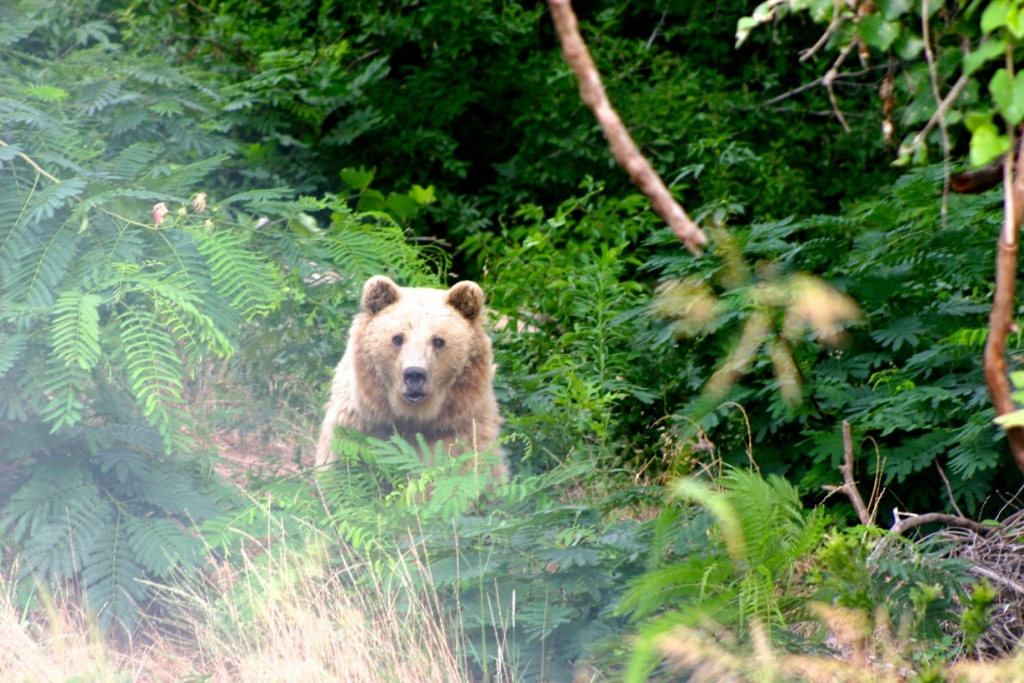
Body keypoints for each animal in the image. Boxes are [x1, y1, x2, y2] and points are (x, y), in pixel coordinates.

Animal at [311, 276, 503, 481]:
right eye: (397, 338)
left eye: (438, 341)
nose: (414, 374)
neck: (412, 418)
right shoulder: (358, 428)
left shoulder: (460, 432)